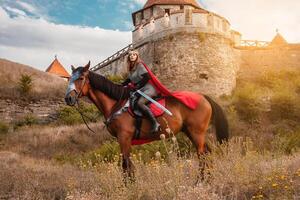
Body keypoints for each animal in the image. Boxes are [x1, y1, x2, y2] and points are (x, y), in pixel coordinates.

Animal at [64, 61, 229, 177]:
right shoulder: (122, 139)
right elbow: (128, 166)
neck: (116, 103)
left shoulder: (124, 137)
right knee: (206, 153)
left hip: (196, 132)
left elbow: (126, 166)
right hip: (191, 132)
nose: (68, 98)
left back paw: (200, 181)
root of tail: (204, 97)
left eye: (81, 78)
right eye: (69, 79)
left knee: (202, 155)